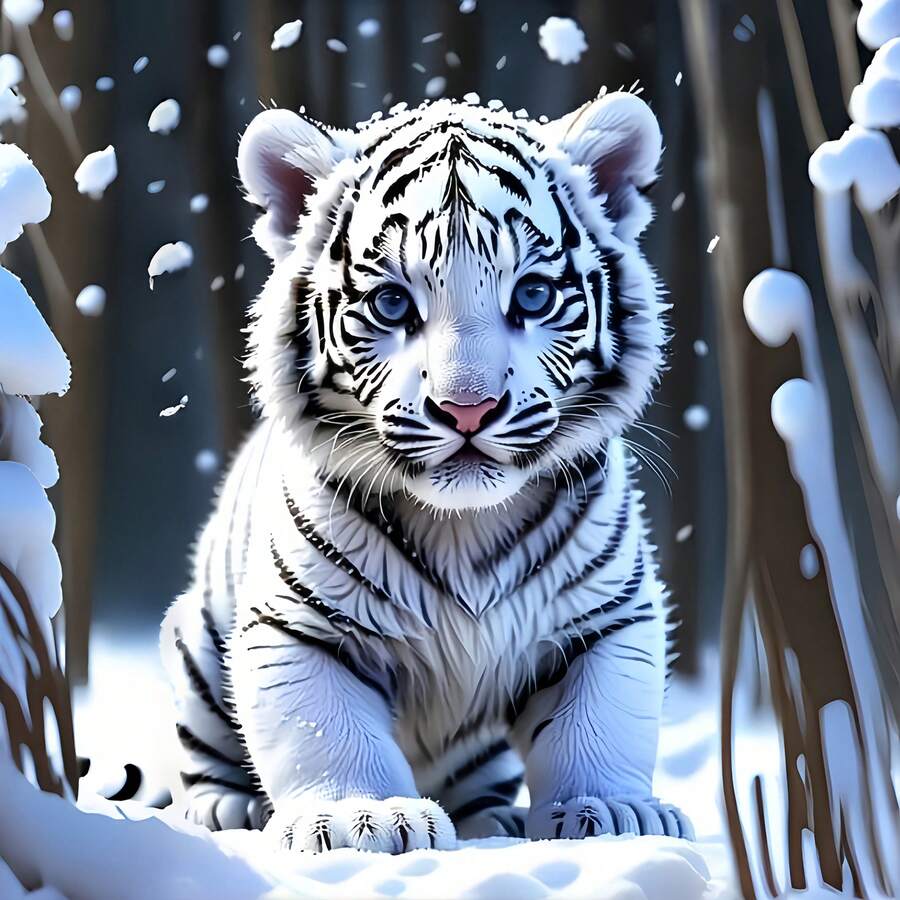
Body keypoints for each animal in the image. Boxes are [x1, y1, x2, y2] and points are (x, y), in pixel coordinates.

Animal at [160, 90, 694, 852]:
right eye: (391, 304)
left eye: (532, 297)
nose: (468, 409)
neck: (463, 526)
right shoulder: (299, 625)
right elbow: (326, 729)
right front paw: (365, 818)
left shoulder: (606, 615)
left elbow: (601, 721)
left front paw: (613, 814)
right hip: (198, 639)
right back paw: (224, 810)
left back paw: (494, 819)